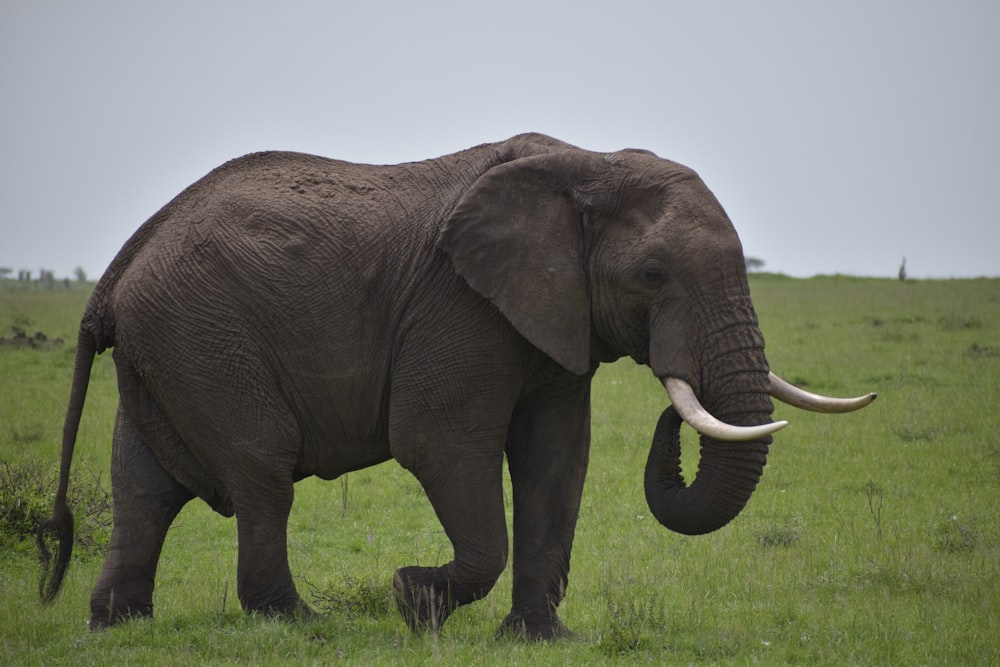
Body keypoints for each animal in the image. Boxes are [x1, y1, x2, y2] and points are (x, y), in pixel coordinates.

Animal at [33, 133, 876, 640]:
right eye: (652, 275)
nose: (675, 413)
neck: (587, 163)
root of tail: (120, 267)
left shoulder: (549, 320)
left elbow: (556, 460)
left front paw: (540, 638)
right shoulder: (460, 307)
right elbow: (441, 444)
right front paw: (412, 599)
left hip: (169, 346)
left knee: (144, 486)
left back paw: (120, 626)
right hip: (205, 336)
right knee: (262, 469)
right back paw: (301, 624)